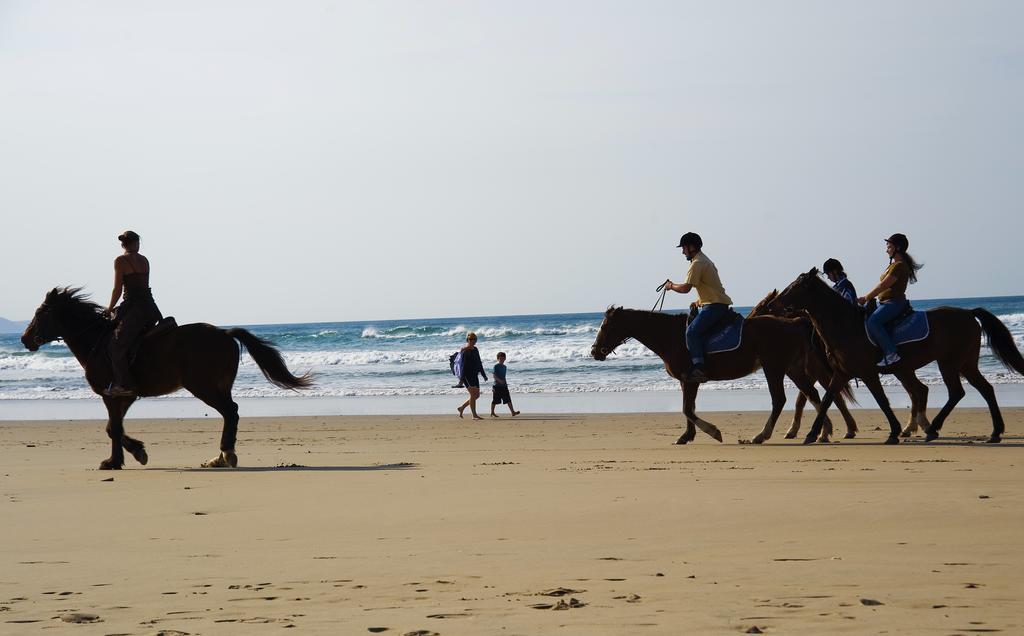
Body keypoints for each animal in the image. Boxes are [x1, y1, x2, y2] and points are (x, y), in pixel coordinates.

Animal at [20, 286, 311, 467]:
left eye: (40, 313)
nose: (25, 339)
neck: (97, 342)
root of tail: (225, 333)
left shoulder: (111, 394)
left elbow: (113, 428)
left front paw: (118, 460)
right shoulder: (125, 396)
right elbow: (114, 427)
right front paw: (132, 453)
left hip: (203, 387)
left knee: (231, 412)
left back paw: (226, 455)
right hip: (219, 385)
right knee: (231, 413)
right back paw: (219, 458)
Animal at [589, 301, 851, 442]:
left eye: (606, 325)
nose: (594, 351)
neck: (671, 336)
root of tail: (794, 321)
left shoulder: (691, 378)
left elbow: (687, 409)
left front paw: (713, 432)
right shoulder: (686, 381)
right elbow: (689, 408)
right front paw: (687, 436)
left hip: (774, 367)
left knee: (779, 399)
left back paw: (762, 435)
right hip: (792, 368)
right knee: (812, 395)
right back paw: (822, 432)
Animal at [774, 266, 1024, 442]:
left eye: (794, 286)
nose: (775, 302)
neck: (845, 325)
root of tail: (969, 313)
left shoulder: (867, 372)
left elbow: (882, 400)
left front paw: (893, 432)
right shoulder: (841, 374)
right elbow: (827, 400)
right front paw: (811, 434)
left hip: (949, 363)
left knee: (955, 392)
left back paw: (933, 428)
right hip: (965, 364)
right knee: (984, 389)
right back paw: (994, 432)